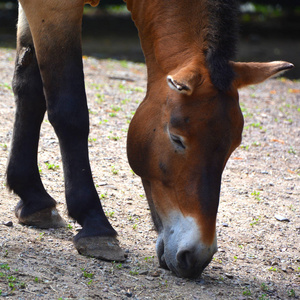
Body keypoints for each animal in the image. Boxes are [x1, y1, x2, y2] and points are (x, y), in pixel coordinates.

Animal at [6, 0, 292, 278]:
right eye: (176, 139)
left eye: (233, 146)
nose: (196, 255)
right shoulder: (55, 8)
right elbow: (69, 109)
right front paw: (95, 224)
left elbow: (30, 89)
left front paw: (33, 198)